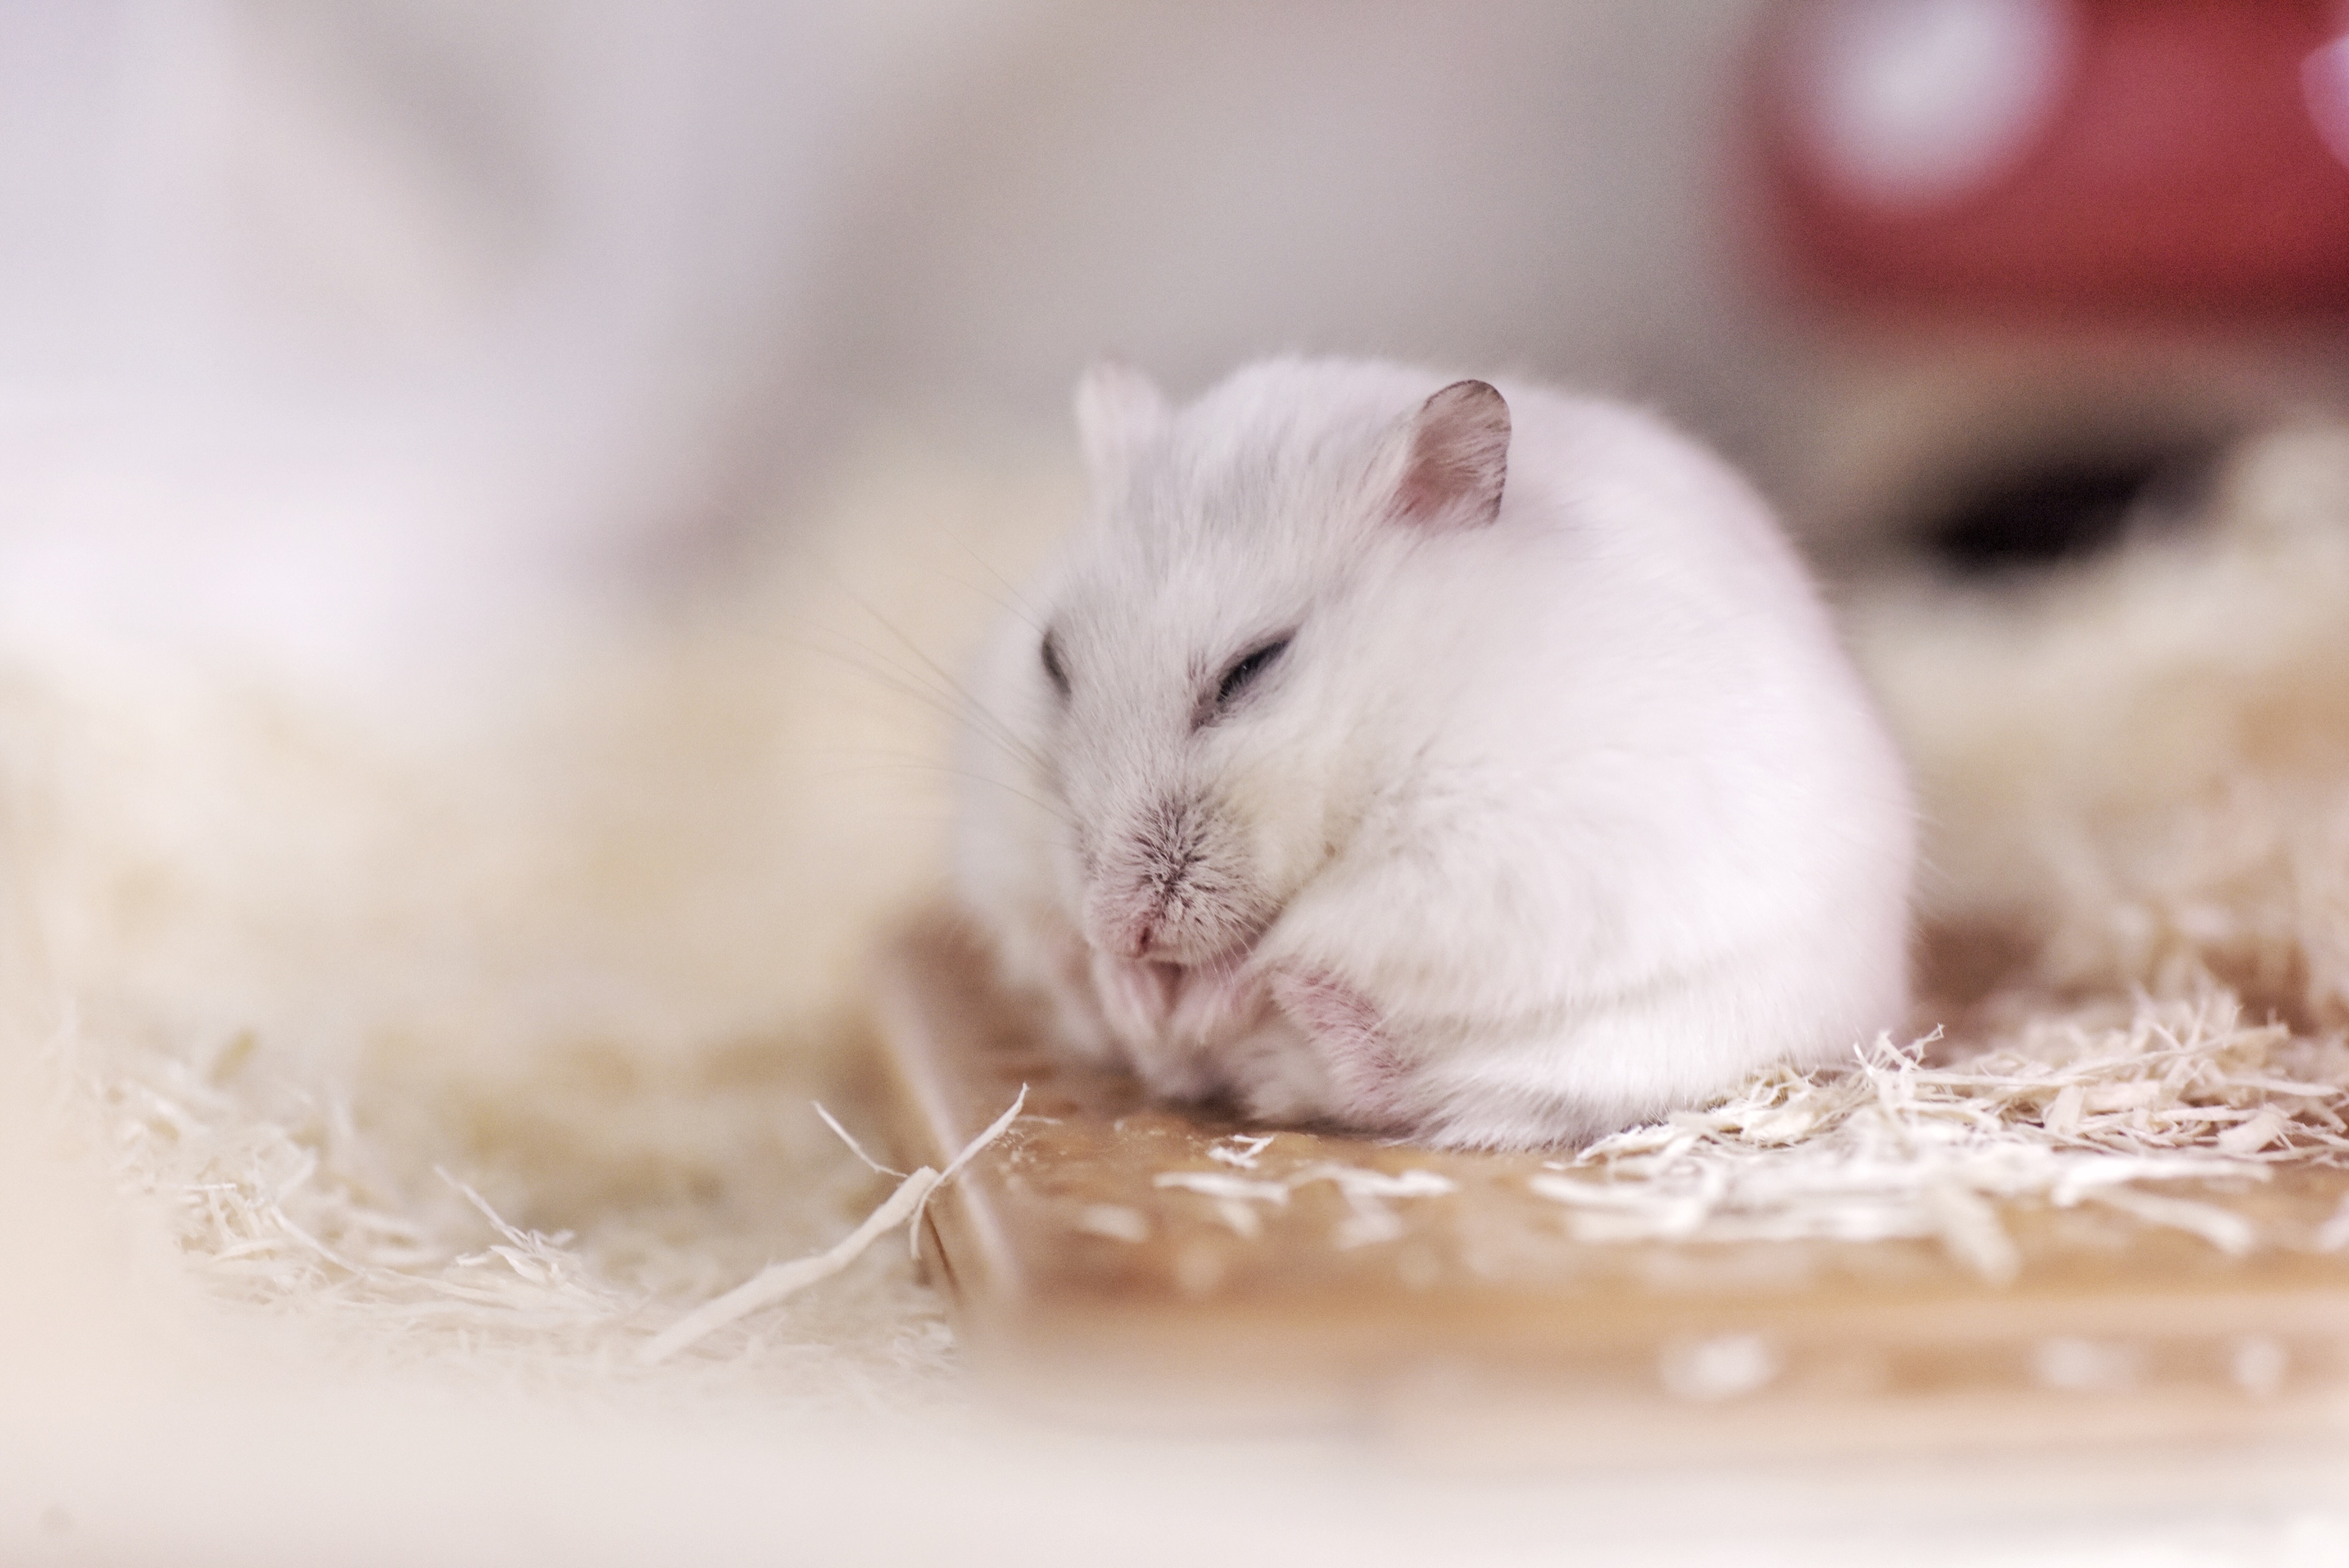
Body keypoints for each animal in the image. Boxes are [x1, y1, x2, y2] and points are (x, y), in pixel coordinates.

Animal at [953, 360, 1907, 1152]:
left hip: (1633, 1050)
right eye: (1052, 660)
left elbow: (1301, 939)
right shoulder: (1011, 856)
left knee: (1398, 1088)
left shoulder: (1475, 860)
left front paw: (1201, 1002)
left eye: (1253, 667)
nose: (1124, 927)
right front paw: (1136, 999)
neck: (1394, 706)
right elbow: (1058, 940)